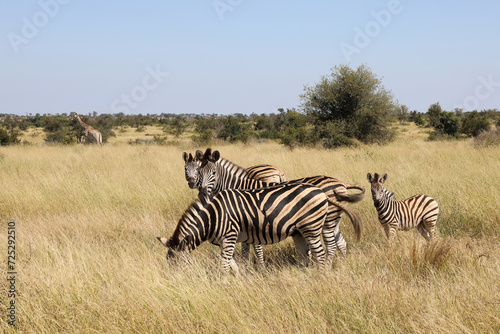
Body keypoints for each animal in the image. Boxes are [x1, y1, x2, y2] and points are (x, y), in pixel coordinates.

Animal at [156, 183, 330, 274]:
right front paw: (238, 282)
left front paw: (223, 285)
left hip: (311, 228)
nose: (175, 283)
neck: (213, 216)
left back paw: (320, 278)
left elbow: (224, 266)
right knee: (304, 257)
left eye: (178, 262)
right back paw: (304, 276)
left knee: (320, 255)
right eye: (168, 262)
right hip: (298, 232)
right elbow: (233, 265)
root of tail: (320, 191)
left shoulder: (229, 237)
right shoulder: (223, 242)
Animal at [197, 149, 366, 266]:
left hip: (326, 220)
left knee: (331, 245)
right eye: (198, 173)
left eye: (213, 173)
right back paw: (340, 266)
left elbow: (251, 247)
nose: (202, 194)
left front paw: (254, 267)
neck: (239, 185)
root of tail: (341, 183)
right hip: (333, 219)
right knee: (341, 243)